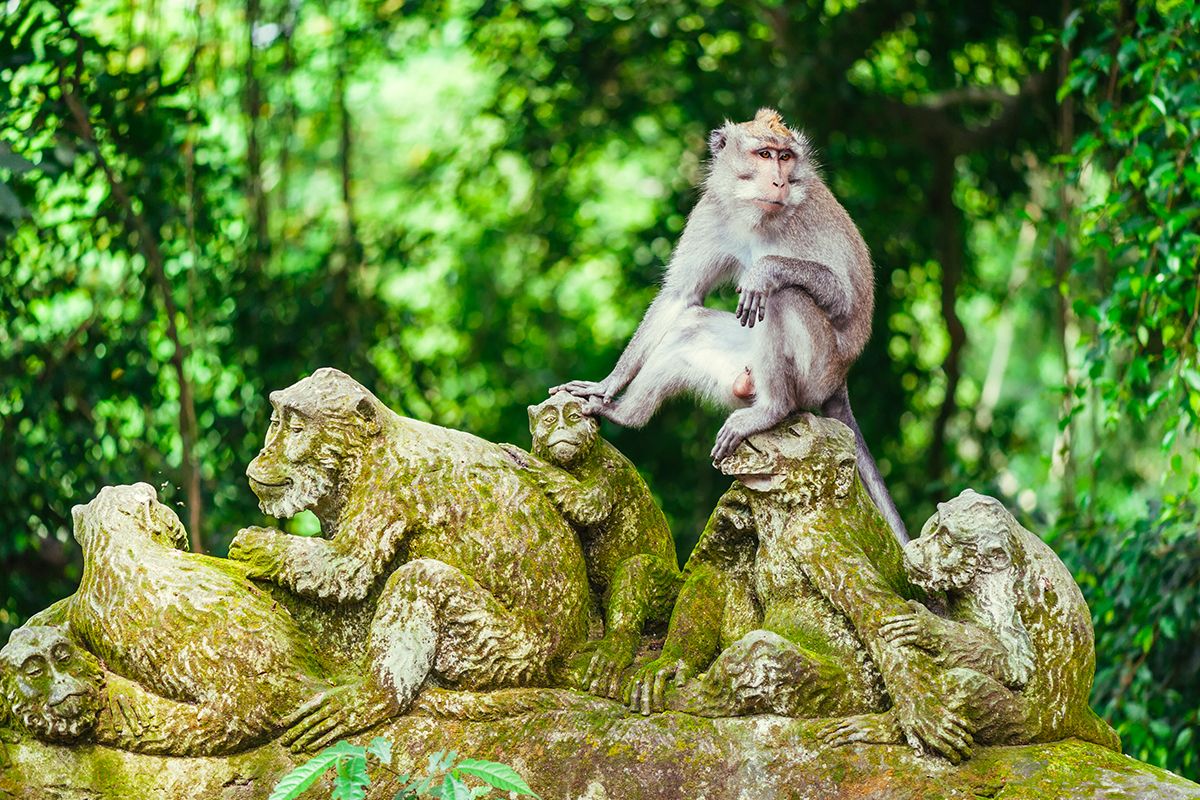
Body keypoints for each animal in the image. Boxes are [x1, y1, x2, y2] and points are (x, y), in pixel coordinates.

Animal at [552, 106, 907, 544]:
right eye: (764, 154)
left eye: (785, 157)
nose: (779, 181)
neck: (756, 213)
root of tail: (840, 381)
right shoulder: (712, 212)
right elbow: (679, 297)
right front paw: (606, 384)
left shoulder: (805, 218)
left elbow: (843, 299)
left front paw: (765, 270)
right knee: (689, 325)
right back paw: (625, 414)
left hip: (816, 372)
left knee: (784, 297)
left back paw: (772, 409)